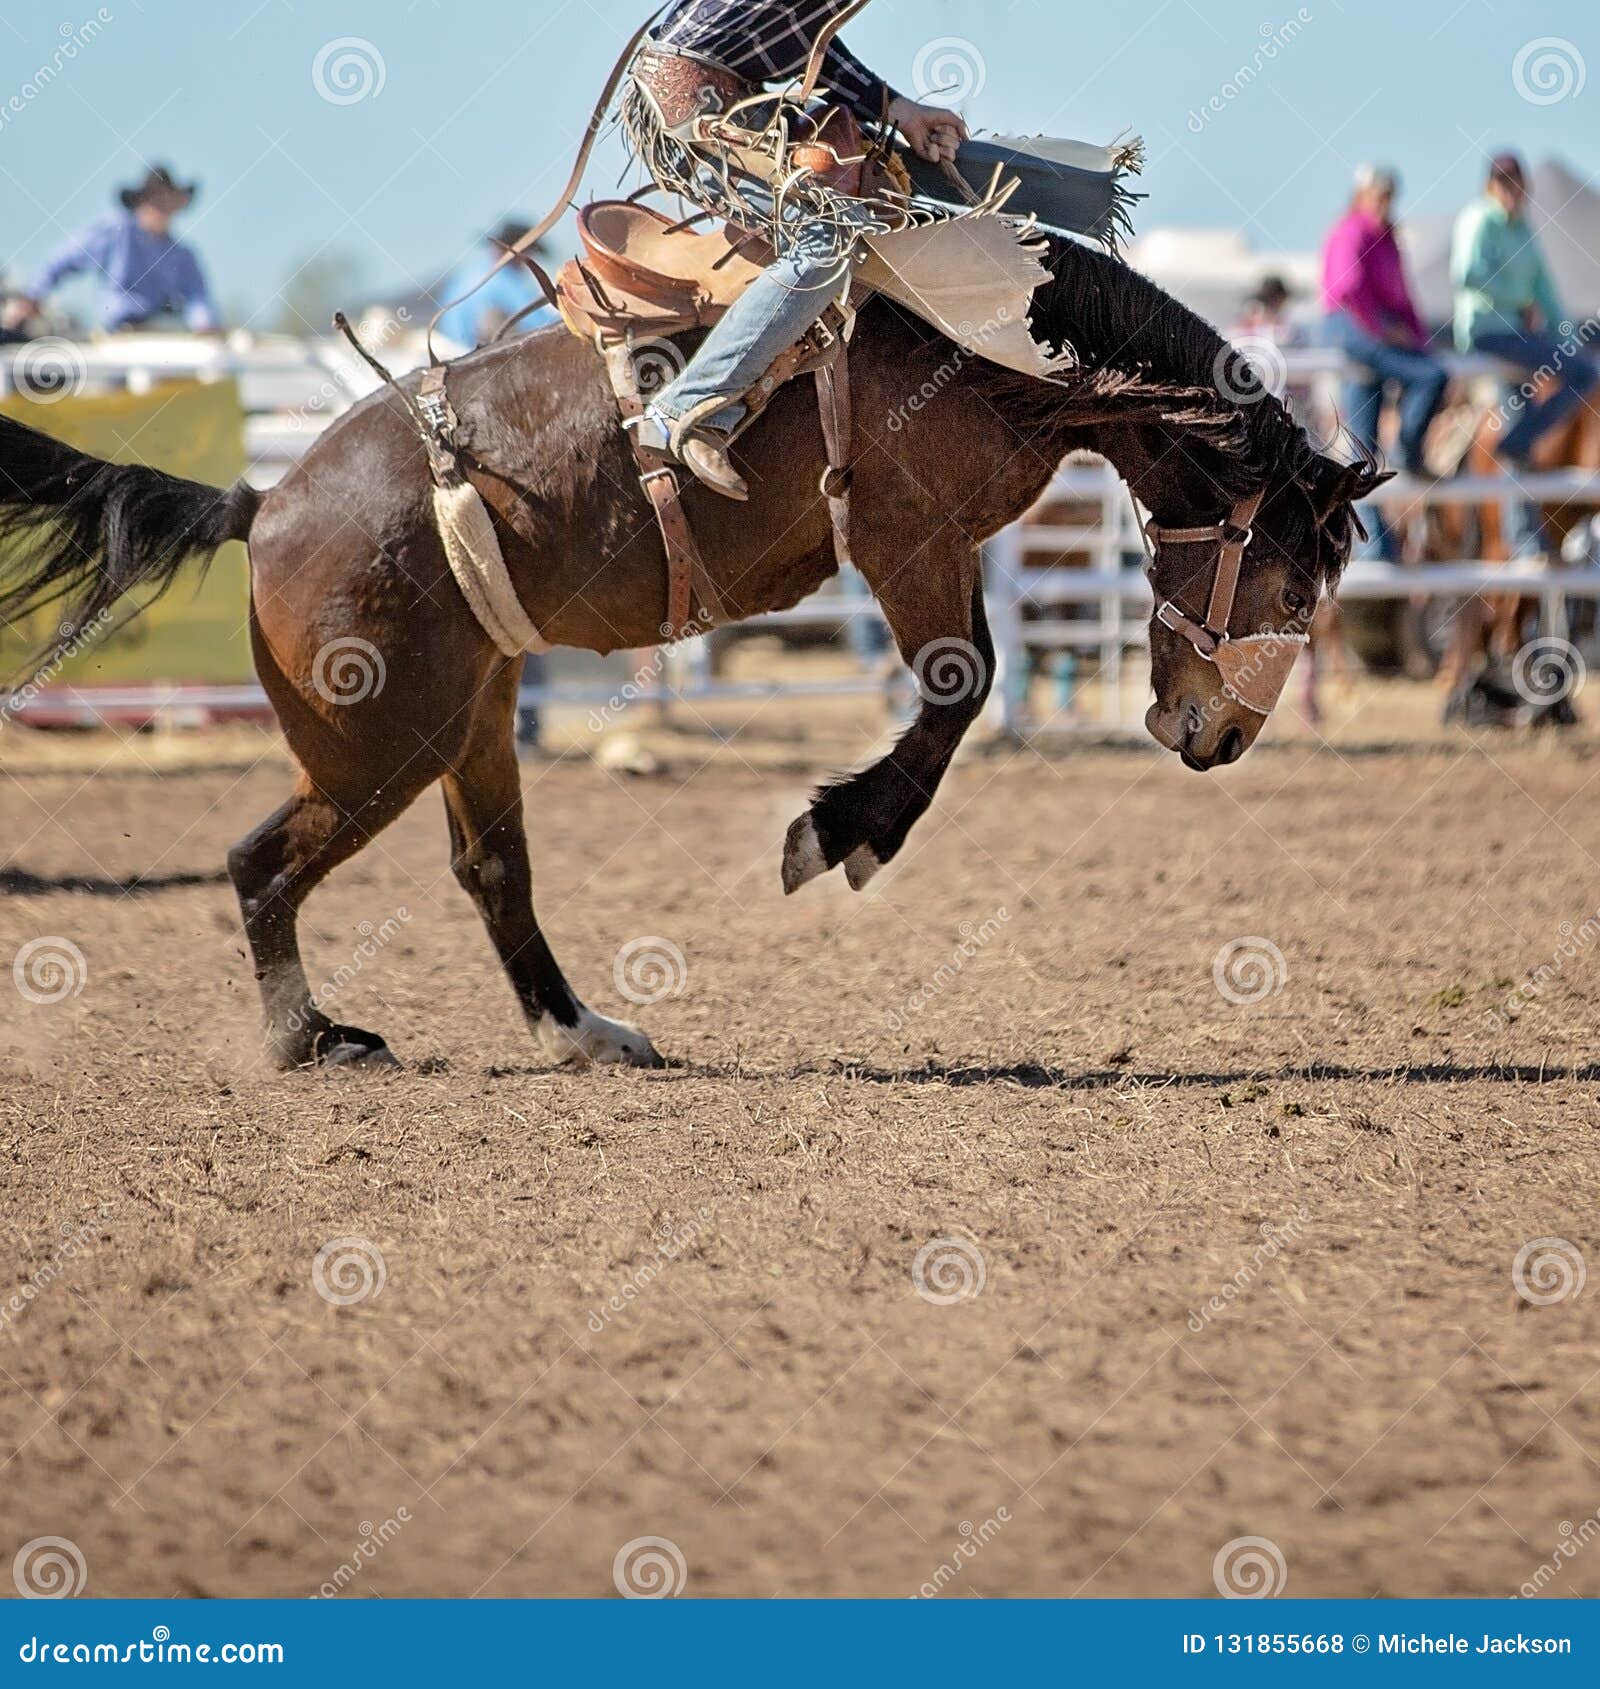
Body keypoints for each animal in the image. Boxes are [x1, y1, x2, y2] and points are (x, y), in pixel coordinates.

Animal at [0, 231, 1385, 1060]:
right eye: (1293, 578)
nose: (1223, 736)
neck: (985, 345)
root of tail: (265, 503)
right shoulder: (904, 540)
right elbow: (963, 687)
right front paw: (837, 834)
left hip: (473, 715)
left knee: (490, 869)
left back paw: (580, 1031)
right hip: (377, 742)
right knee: (258, 861)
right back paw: (311, 1039)